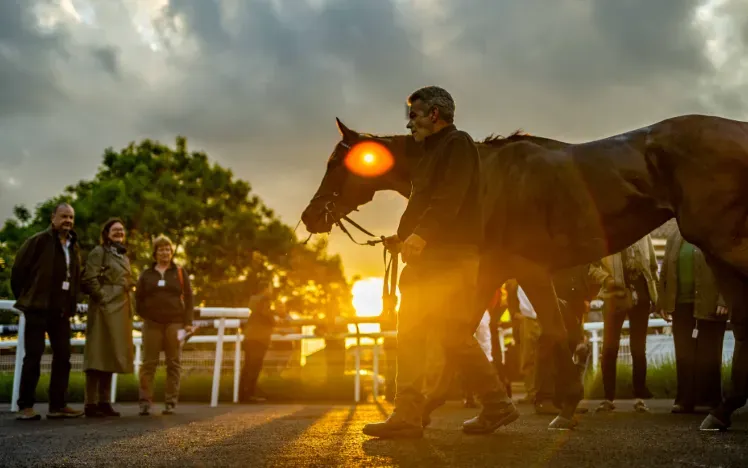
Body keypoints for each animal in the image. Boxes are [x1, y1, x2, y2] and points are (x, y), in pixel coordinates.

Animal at [301, 114, 748, 427]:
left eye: (337, 162)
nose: (310, 215)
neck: (484, 178)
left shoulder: (526, 266)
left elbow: (555, 332)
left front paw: (565, 407)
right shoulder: (493, 269)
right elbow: (460, 334)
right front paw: (439, 410)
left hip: (723, 244)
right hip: (718, 249)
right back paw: (722, 411)